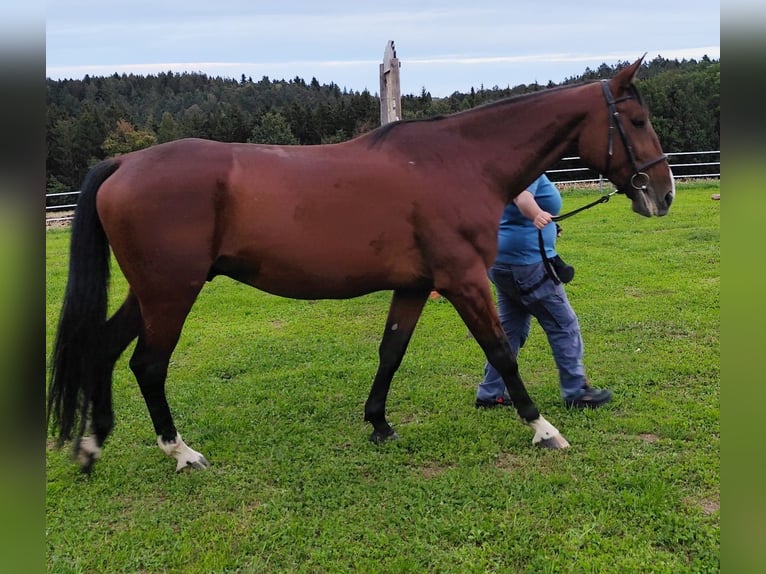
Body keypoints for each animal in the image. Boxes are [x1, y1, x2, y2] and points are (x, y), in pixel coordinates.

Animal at [49, 57, 672, 476]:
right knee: (148, 365)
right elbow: (502, 352)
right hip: (172, 292)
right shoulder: (464, 282)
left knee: (103, 351)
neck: (458, 161)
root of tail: (125, 162)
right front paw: (543, 429)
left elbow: (391, 351)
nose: (662, 195)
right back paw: (180, 452)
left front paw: (378, 423)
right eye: (638, 120)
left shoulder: (416, 286)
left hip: (151, 292)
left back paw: (91, 447)